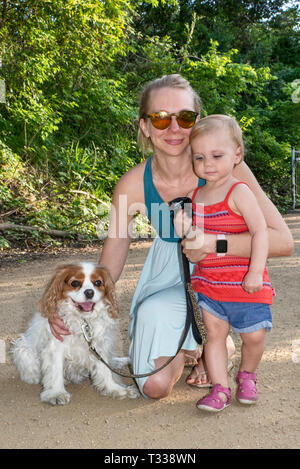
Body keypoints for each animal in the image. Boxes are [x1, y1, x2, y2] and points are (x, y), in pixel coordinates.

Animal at [10, 262, 139, 404]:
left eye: (98, 282)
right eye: (75, 283)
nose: (89, 292)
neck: (83, 321)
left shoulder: (99, 346)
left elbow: (105, 371)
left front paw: (116, 389)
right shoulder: (55, 347)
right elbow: (55, 370)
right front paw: (56, 393)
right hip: (22, 348)